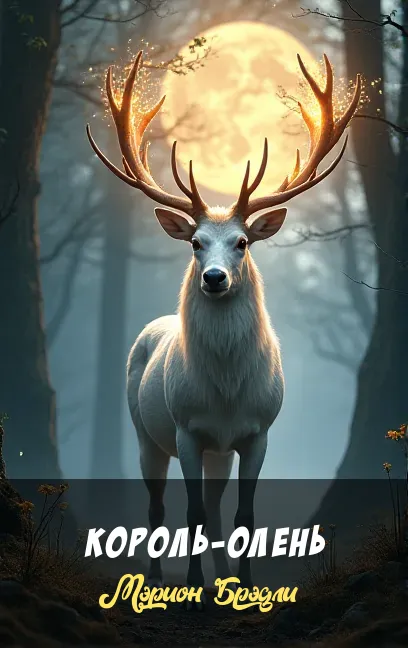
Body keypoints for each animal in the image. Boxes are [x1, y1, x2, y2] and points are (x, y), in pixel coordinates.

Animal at [86, 50, 361, 605]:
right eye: (195, 243)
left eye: (242, 242)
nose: (214, 278)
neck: (228, 391)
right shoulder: (188, 429)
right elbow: (189, 513)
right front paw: (192, 584)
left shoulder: (258, 432)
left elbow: (243, 516)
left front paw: (246, 587)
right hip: (147, 434)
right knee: (158, 507)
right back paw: (157, 579)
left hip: (219, 453)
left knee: (214, 509)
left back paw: (223, 580)